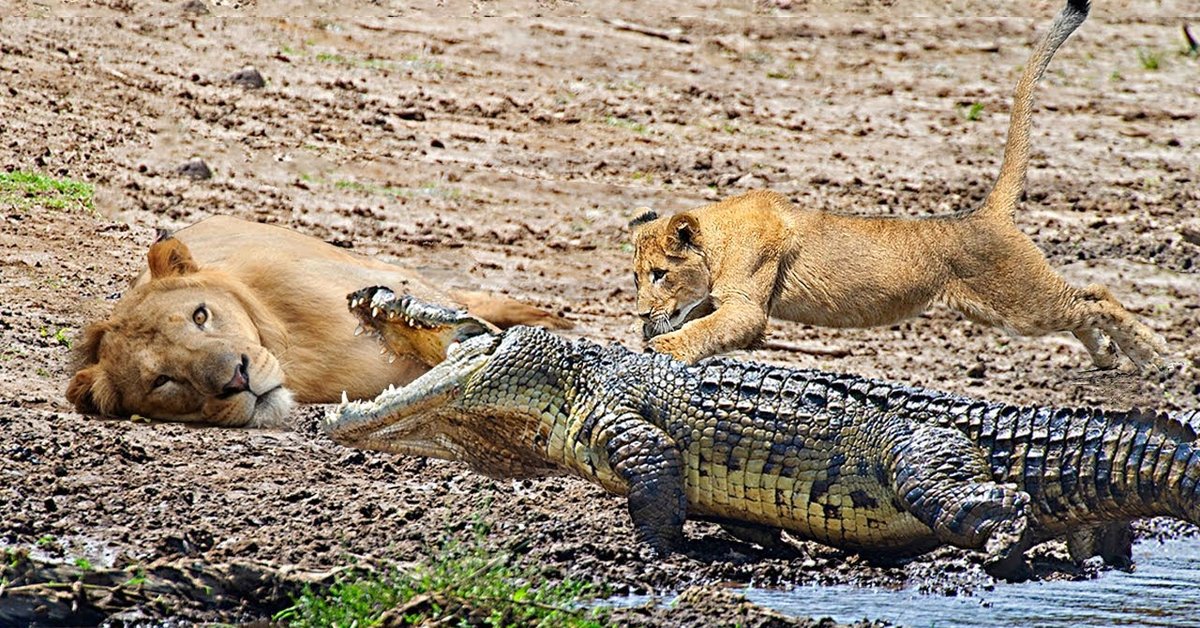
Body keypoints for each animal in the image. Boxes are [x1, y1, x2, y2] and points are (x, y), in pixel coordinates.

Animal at [624, 0, 1166, 369]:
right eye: (635, 277)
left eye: (659, 274)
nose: (641, 313)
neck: (717, 240)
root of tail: (985, 213)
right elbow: (701, 322)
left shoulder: (747, 308)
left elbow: (703, 331)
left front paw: (658, 346)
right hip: (1009, 309)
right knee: (1085, 304)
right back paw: (1107, 355)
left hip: (1020, 303)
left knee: (1096, 296)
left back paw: (1156, 357)